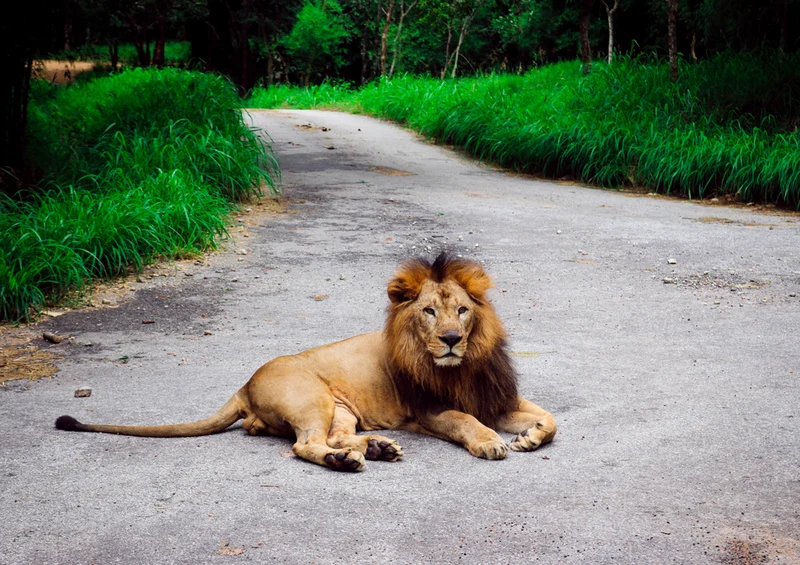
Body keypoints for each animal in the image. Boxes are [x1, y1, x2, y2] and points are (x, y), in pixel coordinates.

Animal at [56, 253, 557, 471]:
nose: (451, 340)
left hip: (342, 409)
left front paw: (530, 436)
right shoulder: (428, 410)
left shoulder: (495, 396)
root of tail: (244, 384)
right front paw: (491, 441)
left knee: (331, 437)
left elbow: (551, 419)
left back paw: (377, 447)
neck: (463, 365)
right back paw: (348, 460)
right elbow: (465, 421)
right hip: (313, 397)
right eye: (429, 312)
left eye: (463, 311)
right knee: (304, 445)